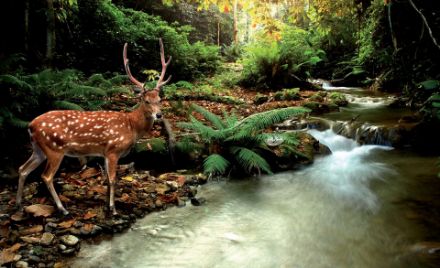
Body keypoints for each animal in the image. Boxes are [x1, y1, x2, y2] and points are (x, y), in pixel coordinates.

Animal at [15, 38, 171, 216]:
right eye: (146, 101)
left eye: (159, 99)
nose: (159, 115)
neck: (131, 126)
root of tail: (31, 125)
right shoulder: (113, 150)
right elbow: (113, 179)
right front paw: (113, 209)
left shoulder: (104, 152)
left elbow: (107, 180)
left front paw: (107, 206)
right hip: (55, 148)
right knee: (46, 176)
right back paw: (63, 209)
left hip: (39, 149)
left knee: (22, 169)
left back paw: (18, 204)